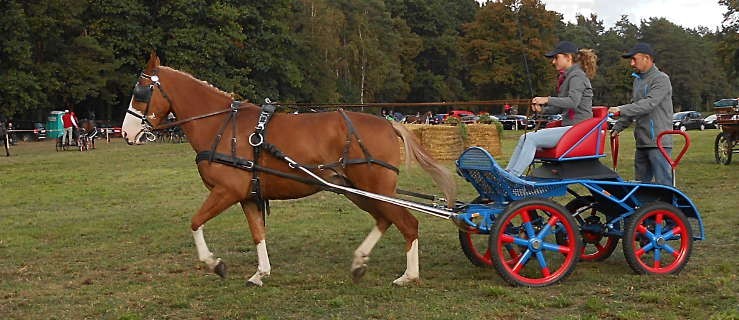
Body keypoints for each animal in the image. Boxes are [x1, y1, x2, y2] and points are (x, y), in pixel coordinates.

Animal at [122, 53, 456, 286]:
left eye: (141, 91)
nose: (126, 132)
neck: (220, 126)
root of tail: (387, 123)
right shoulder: (247, 196)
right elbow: (257, 234)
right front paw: (260, 273)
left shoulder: (226, 191)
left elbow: (195, 222)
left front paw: (214, 264)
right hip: (357, 189)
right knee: (386, 220)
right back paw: (360, 262)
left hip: (375, 187)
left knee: (408, 224)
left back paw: (408, 276)